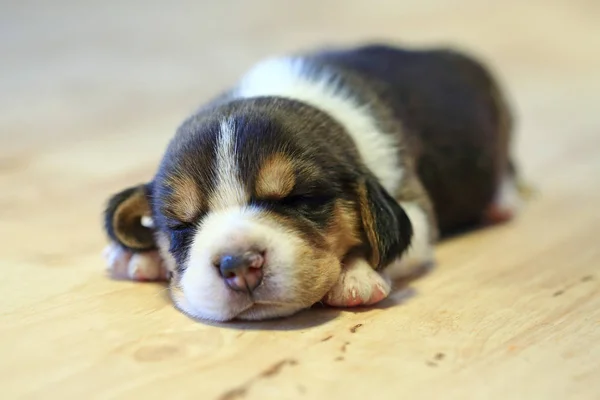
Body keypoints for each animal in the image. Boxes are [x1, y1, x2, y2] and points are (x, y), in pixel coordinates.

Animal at [101, 43, 524, 322]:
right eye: (180, 226)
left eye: (298, 199)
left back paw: (501, 204)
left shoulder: (415, 209)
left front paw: (356, 275)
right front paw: (139, 254)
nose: (240, 265)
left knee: (508, 167)